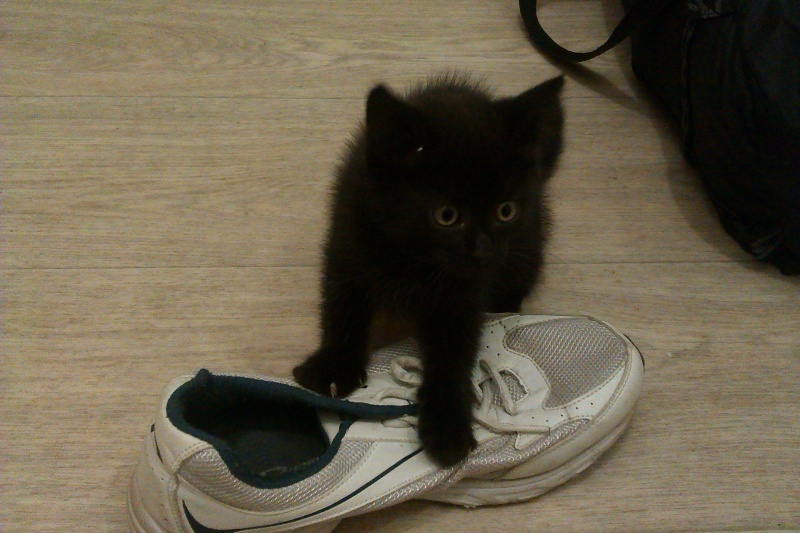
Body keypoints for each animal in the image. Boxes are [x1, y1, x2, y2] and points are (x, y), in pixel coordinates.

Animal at [293, 73, 565, 466]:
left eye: (506, 210)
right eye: (446, 215)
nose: (484, 251)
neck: (414, 259)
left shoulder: (463, 295)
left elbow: (453, 351)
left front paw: (446, 423)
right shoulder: (348, 242)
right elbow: (342, 306)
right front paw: (334, 364)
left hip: (526, 247)